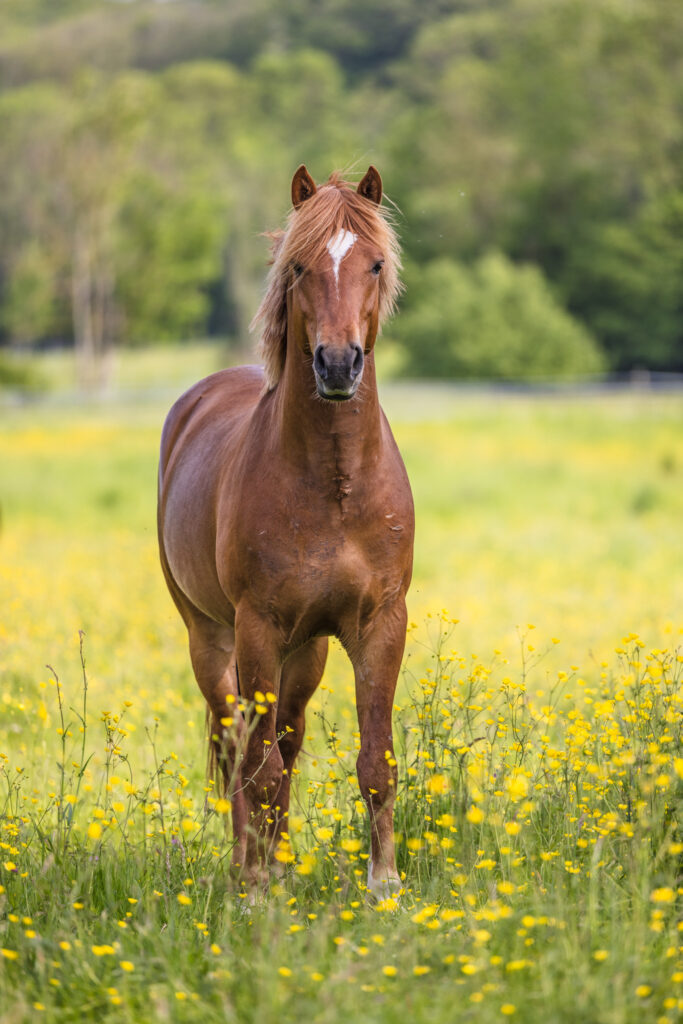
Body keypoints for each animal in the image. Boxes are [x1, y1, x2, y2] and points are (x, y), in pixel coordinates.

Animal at [157, 165, 414, 896]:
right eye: (300, 266)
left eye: (375, 262)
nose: (337, 364)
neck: (333, 486)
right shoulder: (258, 628)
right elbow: (259, 767)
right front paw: (259, 889)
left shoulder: (379, 624)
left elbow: (375, 761)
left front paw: (383, 883)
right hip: (211, 639)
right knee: (239, 745)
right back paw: (249, 867)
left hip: (307, 651)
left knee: (287, 739)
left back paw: (276, 858)